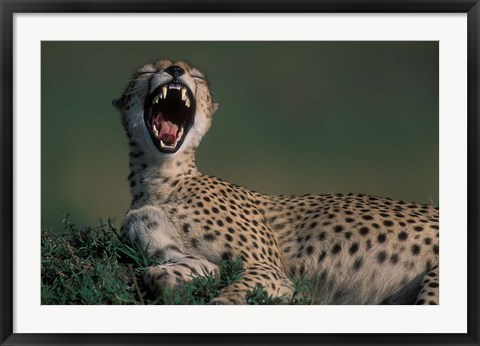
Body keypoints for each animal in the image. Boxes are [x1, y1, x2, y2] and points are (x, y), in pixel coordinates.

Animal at [112, 60, 438, 304]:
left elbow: (230, 297)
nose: (176, 69)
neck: (161, 178)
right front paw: (169, 284)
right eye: (147, 71)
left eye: (196, 76)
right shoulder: (189, 256)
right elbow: (159, 272)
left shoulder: (269, 270)